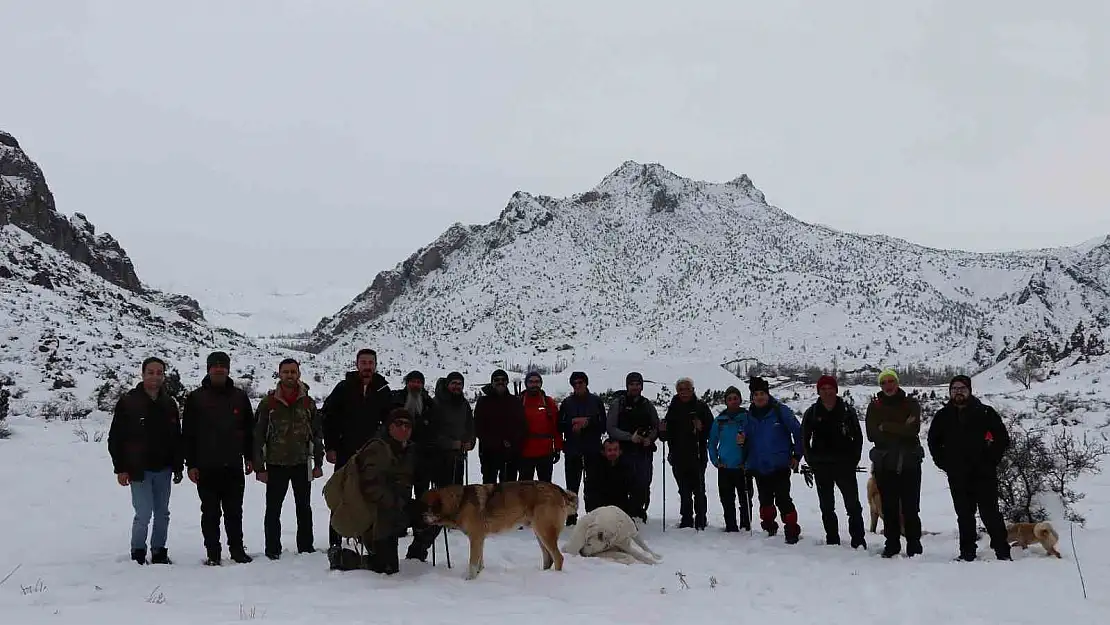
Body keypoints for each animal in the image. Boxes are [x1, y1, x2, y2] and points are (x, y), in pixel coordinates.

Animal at [419, 481, 577, 581]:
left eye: (421, 508)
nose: (417, 526)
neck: (459, 502)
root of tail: (560, 490)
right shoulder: (480, 539)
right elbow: (480, 562)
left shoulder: (476, 538)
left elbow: (472, 563)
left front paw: (469, 581)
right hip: (539, 533)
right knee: (548, 559)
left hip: (544, 532)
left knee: (558, 558)